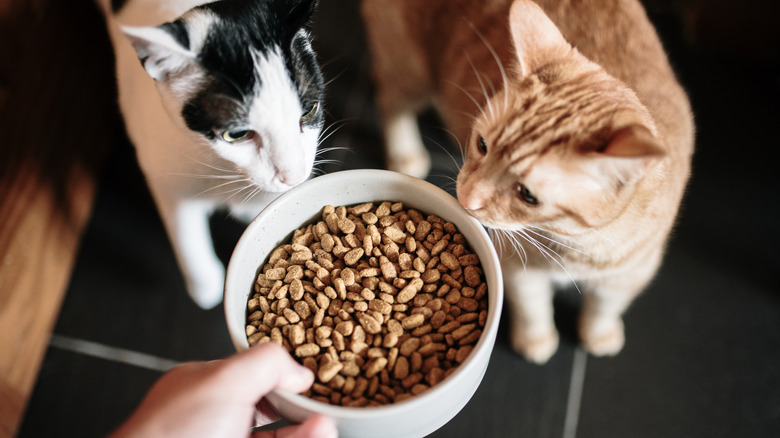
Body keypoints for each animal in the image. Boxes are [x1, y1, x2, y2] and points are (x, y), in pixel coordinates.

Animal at [98, 0, 326, 308]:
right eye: (236, 134)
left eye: (309, 110)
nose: (294, 176)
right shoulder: (165, 174)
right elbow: (185, 234)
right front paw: (206, 286)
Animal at [362, 0, 696, 362]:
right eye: (482, 145)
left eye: (527, 195)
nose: (466, 199)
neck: (577, 245)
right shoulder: (515, 265)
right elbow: (532, 306)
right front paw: (536, 342)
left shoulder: (631, 273)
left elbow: (605, 308)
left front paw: (599, 335)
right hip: (409, 68)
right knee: (389, 99)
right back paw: (405, 153)